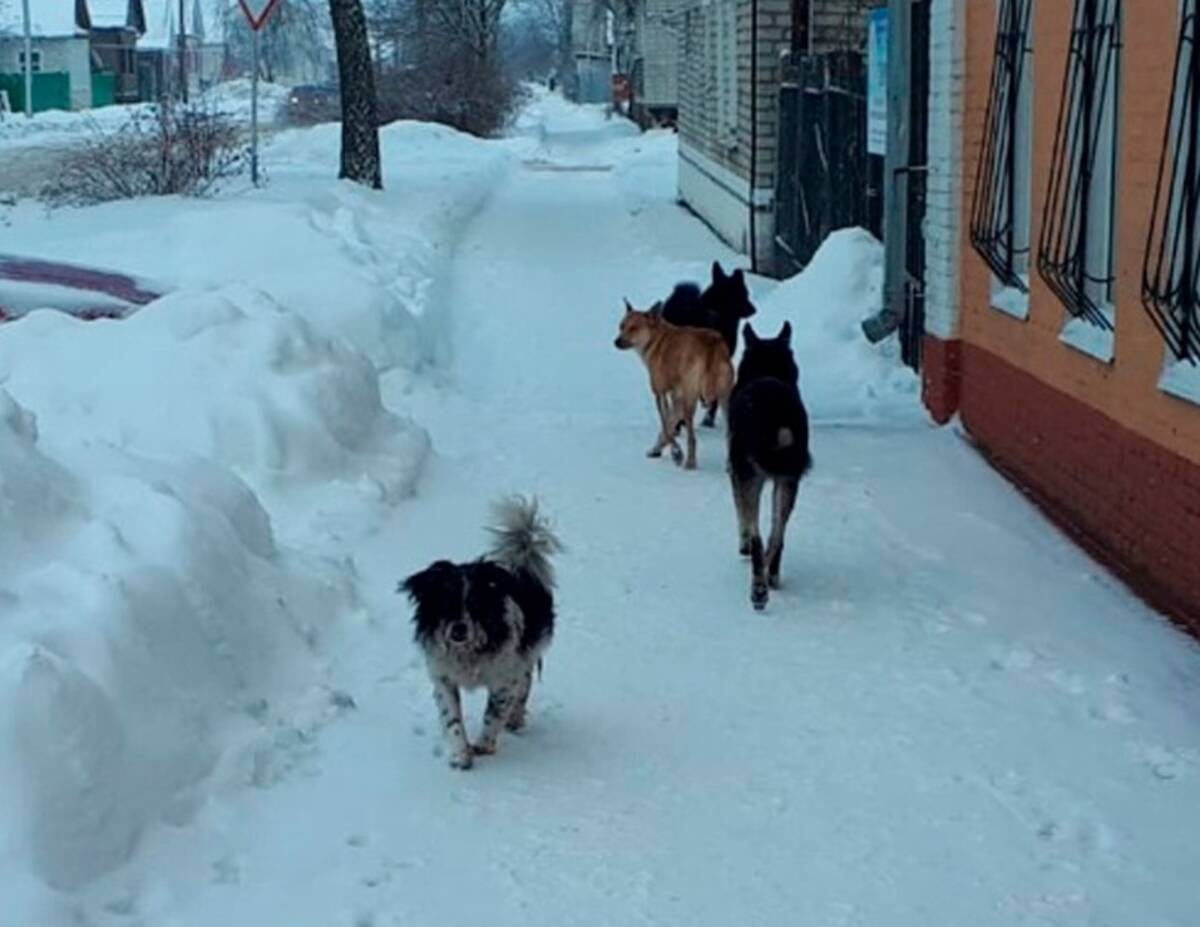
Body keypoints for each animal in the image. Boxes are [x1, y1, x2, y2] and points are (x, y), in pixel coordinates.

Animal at [619, 298, 729, 468]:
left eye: (634, 328)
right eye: (621, 326)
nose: (616, 342)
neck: (656, 338)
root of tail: (712, 345)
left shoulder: (660, 393)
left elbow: (666, 425)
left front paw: (676, 453)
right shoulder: (677, 396)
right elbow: (669, 425)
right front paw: (657, 449)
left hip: (691, 400)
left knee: (692, 437)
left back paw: (690, 462)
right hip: (725, 399)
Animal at [724, 321, 811, 612]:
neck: (767, 369)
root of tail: (776, 411)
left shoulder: (737, 474)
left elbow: (742, 518)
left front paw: (742, 546)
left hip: (751, 475)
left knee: (758, 537)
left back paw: (758, 590)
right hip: (788, 479)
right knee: (777, 535)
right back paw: (769, 577)